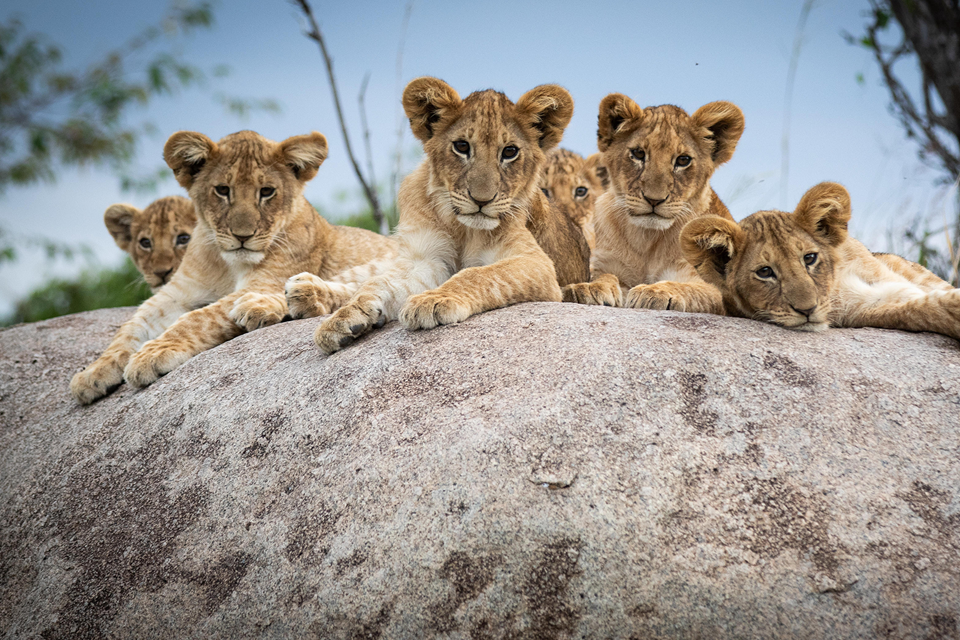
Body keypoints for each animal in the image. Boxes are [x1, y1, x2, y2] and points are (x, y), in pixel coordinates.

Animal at [71, 129, 397, 404]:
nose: (243, 236)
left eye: (266, 191)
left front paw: (152, 354)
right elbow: (130, 328)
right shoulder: (175, 293)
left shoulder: (264, 281)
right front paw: (92, 373)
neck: (226, 264)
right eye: (222, 190)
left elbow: (198, 318)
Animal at [309, 77, 578, 354]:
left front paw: (434, 300)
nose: (481, 200)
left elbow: (478, 274)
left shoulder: (538, 264)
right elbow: (379, 284)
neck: (464, 228)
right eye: (461, 146)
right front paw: (346, 316)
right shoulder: (428, 258)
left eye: (510, 151)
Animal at [562, 94, 745, 313]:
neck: (647, 240)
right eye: (638, 154)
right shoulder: (607, 264)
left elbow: (688, 288)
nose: (654, 199)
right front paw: (589, 288)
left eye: (683, 160)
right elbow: (605, 276)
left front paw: (654, 291)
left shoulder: (712, 288)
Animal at [680, 181, 960, 340]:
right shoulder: (869, 308)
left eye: (810, 258)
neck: (836, 283)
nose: (807, 310)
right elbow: (924, 310)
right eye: (765, 272)